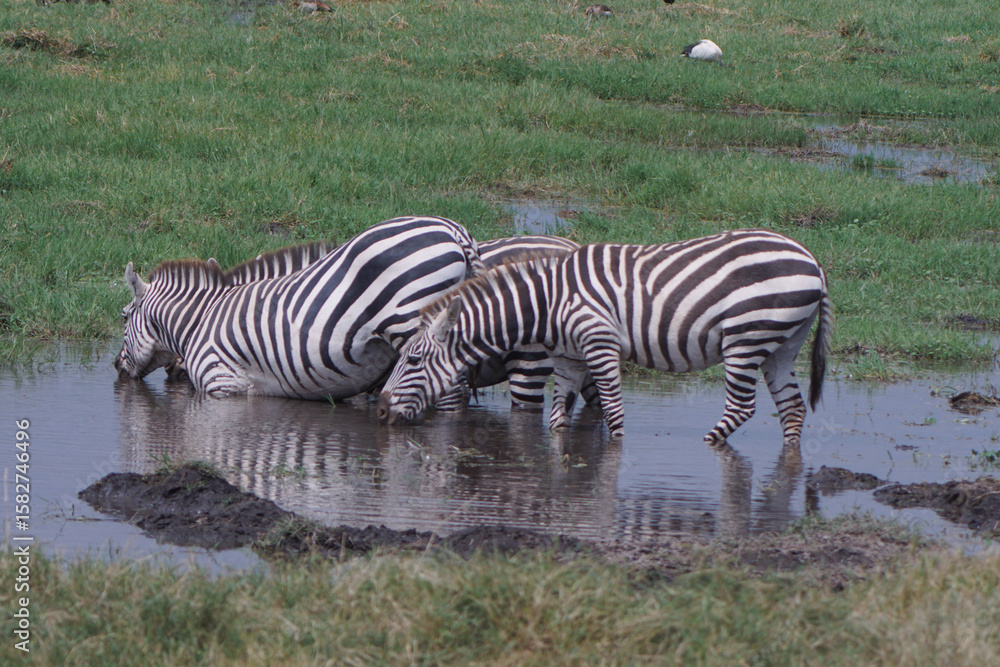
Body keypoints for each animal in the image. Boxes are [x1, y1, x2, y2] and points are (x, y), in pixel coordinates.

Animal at [115, 216, 484, 399]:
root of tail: (454, 231)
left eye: (124, 317)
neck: (198, 321)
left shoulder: (222, 383)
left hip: (412, 325)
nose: (116, 366)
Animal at [377, 229, 833, 446]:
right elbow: (558, 420)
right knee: (792, 409)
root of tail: (812, 260)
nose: (379, 412)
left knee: (741, 408)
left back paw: (707, 446)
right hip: (783, 344)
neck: (547, 304)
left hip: (745, 338)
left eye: (413, 361)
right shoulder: (568, 359)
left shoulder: (599, 345)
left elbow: (612, 412)